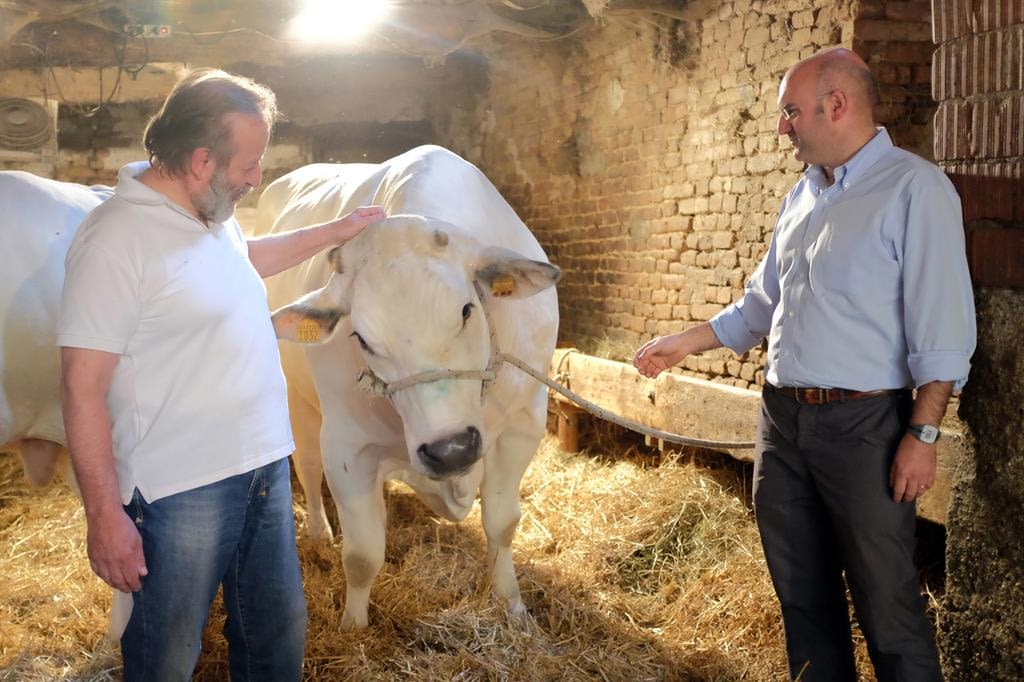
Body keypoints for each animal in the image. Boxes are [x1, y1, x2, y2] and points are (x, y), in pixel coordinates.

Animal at [258, 144, 561, 626]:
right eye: (361, 338)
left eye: (466, 310)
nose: (450, 449)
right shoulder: (347, 447)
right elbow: (362, 554)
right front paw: (353, 628)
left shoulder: (523, 423)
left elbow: (502, 523)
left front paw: (512, 607)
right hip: (298, 407)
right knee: (306, 468)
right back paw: (320, 532)